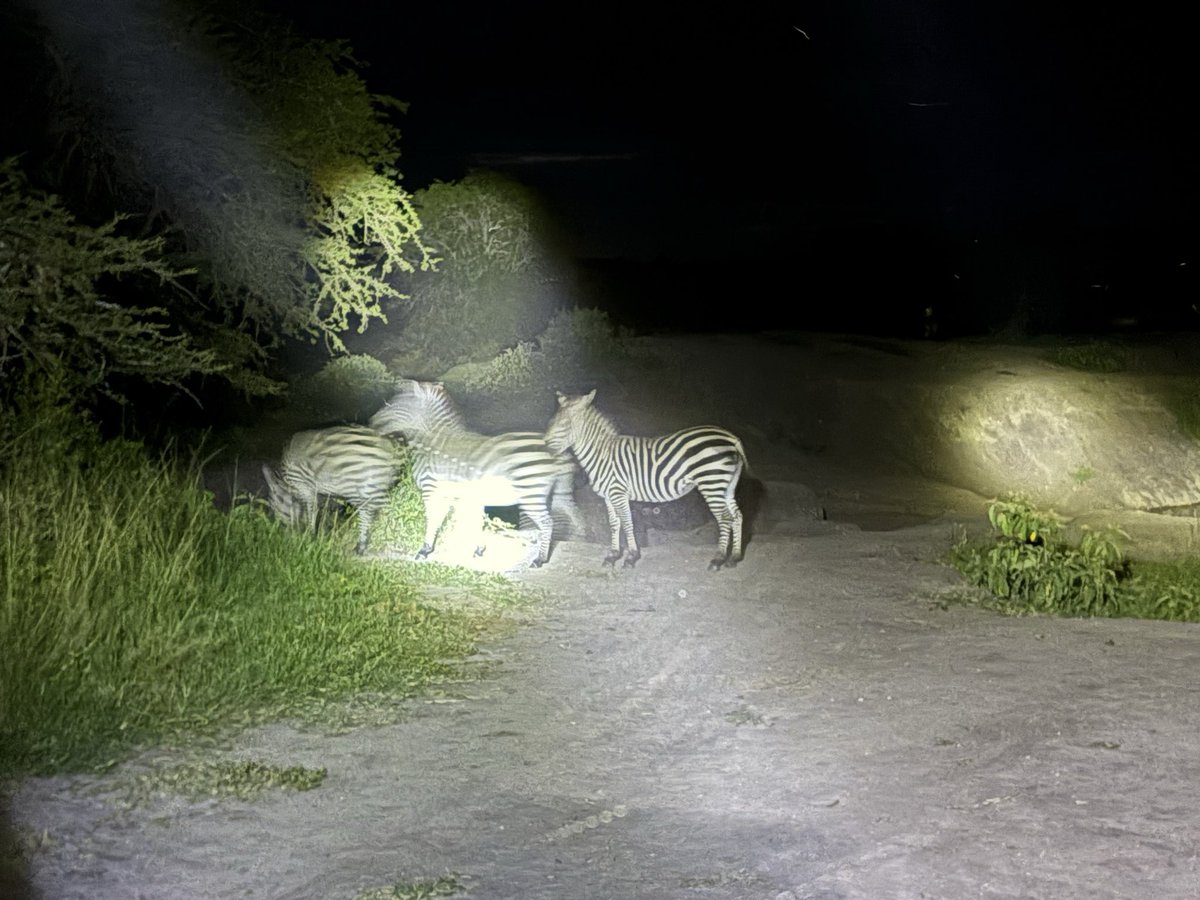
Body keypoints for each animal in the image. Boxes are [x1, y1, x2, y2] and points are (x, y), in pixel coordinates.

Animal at [262, 425, 407, 555]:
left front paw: (311, 535)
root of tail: (390, 445)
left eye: (275, 506)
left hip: (360, 490)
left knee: (380, 510)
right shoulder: (325, 494)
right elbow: (326, 513)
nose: (282, 533)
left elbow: (312, 512)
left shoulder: (306, 488)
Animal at [368, 379, 578, 567]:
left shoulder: (432, 490)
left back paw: (540, 559)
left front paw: (425, 550)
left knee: (547, 522)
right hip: (556, 494)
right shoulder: (458, 495)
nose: (370, 424)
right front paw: (474, 550)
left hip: (530, 494)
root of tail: (556, 450)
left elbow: (435, 520)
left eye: (394, 403)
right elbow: (468, 523)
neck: (431, 442)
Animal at [544, 389, 748, 571]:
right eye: (551, 421)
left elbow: (627, 522)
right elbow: (614, 524)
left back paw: (718, 559)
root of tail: (730, 436)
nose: (544, 447)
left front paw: (631, 557)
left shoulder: (618, 492)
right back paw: (734, 557)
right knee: (737, 516)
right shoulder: (609, 496)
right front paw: (612, 556)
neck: (602, 454)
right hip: (727, 485)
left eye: (564, 424)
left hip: (711, 482)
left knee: (725, 518)